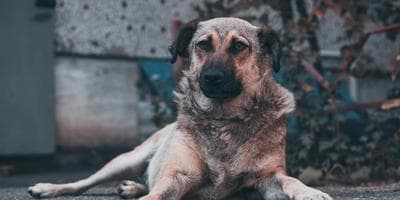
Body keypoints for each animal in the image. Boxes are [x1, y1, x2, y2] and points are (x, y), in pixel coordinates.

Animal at [28, 17, 332, 200]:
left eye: (238, 46)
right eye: (203, 45)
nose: (212, 77)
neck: (223, 117)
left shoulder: (266, 179)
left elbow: (290, 180)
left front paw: (309, 191)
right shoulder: (179, 176)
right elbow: (158, 192)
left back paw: (131, 187)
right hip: (128, 159)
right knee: (86, 181)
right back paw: (50, 187)